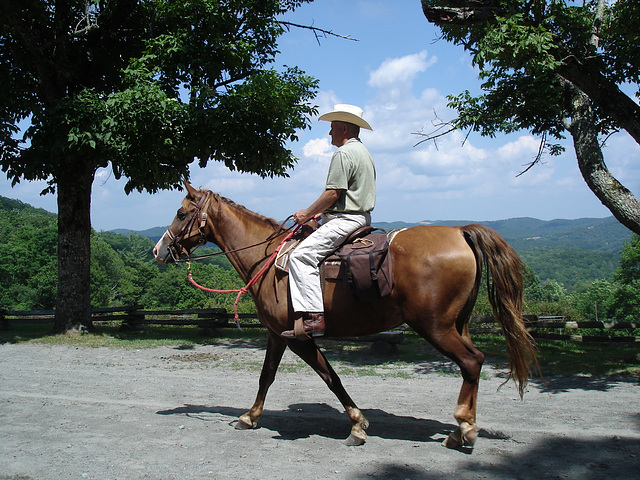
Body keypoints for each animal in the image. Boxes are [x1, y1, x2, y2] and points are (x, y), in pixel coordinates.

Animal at [154, 182, 536, 448]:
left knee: (472, 362)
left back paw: (465, 429)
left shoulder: (298, 337)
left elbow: (330, 377)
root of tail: (459, 232)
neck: (268, 259)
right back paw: (461, 429)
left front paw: (356, 424)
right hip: (458, 324)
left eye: (181, 213)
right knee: (472, 364)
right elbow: (268, 376)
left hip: (435, 327)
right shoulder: (277, 335)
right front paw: (250, 416)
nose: (159, 250)